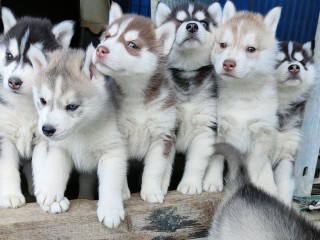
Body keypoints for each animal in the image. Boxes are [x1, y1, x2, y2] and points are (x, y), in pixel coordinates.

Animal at [0, 6, 73, 207]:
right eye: (9, 56)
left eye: (35, 61)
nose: (13, 82)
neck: (24, 103)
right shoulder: (3, 134)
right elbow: (7, 167)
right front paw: (10, 195)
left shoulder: (45, 137)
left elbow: (45, 166)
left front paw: (49, 195)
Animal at [27, 45, 127, 229]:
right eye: (43, 101)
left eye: (72, 106)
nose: (47, 130)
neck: (81, 131)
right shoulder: (59, 148)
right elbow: (55, 167)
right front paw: (51, 193)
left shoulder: (112, 149)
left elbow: (110, 181)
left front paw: (110, 209)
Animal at [154, 1, 222, 194]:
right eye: (179, 22)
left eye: (204, 22)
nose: (192, 25)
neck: (188, 72)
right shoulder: (169, 126)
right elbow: (164, 162)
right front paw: (160, 187)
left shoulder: (206, 128)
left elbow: (197, 163)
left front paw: (191, 184)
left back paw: (213, 181)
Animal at [211, 1, 282, 196]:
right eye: (223, 45)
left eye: (251, 49)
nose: (228, 63)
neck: (241, 92)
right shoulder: (220, 129)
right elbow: (216, 159)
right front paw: (211, 181)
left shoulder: (261, 136)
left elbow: (253, 167)